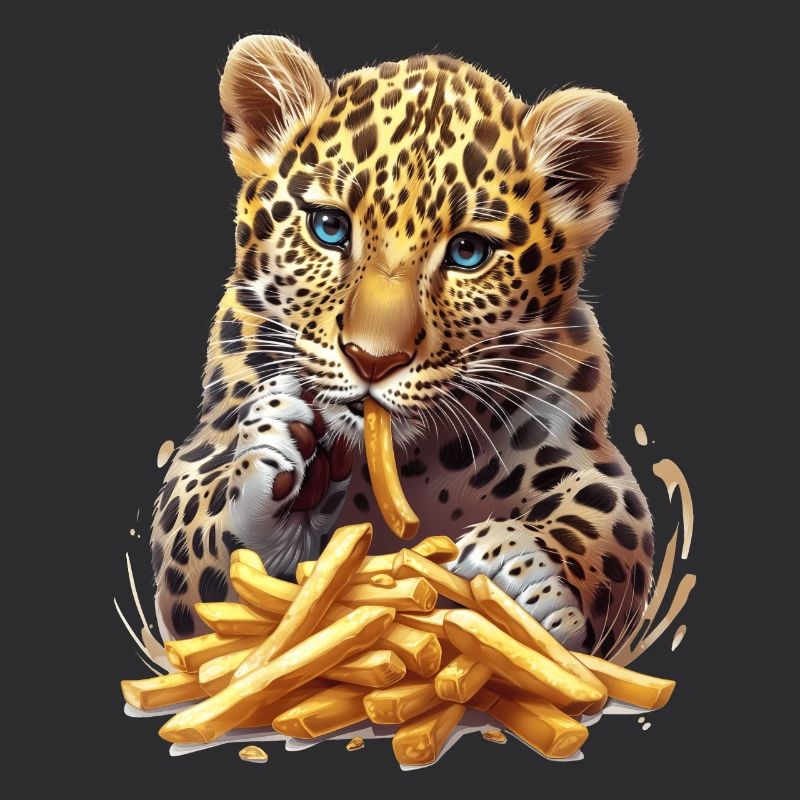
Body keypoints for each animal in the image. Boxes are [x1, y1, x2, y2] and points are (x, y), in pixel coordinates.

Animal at [149, 34, 653, 659]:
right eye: (329, 227)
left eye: (467, 252)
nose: (373, 360)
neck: (414, 463)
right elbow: (193, 541)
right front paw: (275, 444)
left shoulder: (578, 444)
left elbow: (611, 516)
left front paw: (524, 568)